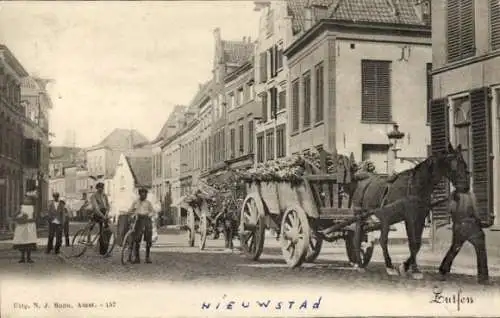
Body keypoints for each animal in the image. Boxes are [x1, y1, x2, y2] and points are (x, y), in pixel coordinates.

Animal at [348, 143, 468, 280]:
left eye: (464, 164)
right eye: (453, 165)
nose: (465, 187)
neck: (417, 185)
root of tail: (365, 177)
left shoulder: (420, 217)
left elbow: (418, 243)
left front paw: (405, 267)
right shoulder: (410, 217)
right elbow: (412, 242)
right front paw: (415, 270)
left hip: (385, 218)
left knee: (382, 240)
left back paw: (385, 266)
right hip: (360, 216)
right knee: (358, 239)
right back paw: (363, 265)